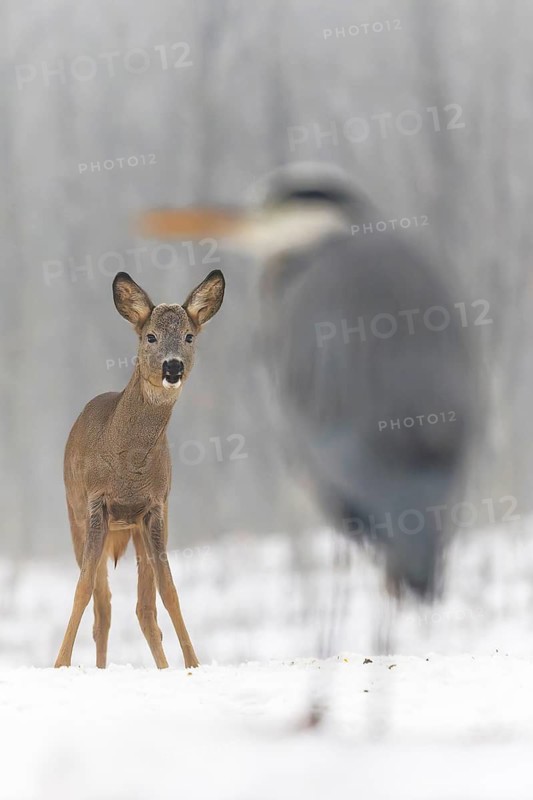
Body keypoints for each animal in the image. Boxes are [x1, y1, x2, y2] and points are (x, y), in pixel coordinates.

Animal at [54, 269, 225, 670]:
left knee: (142, 607)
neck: (129, 467)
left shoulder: (155, 507)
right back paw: (97, 667)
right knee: (103, 604)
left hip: (135, 527)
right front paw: (60, 664)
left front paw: (193, 664)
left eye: (189, 336)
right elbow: (83, 588)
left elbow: (169, 590)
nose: (173, 366)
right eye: (151, 336)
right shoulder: (95, 503)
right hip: (75, 513)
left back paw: (159, 666)